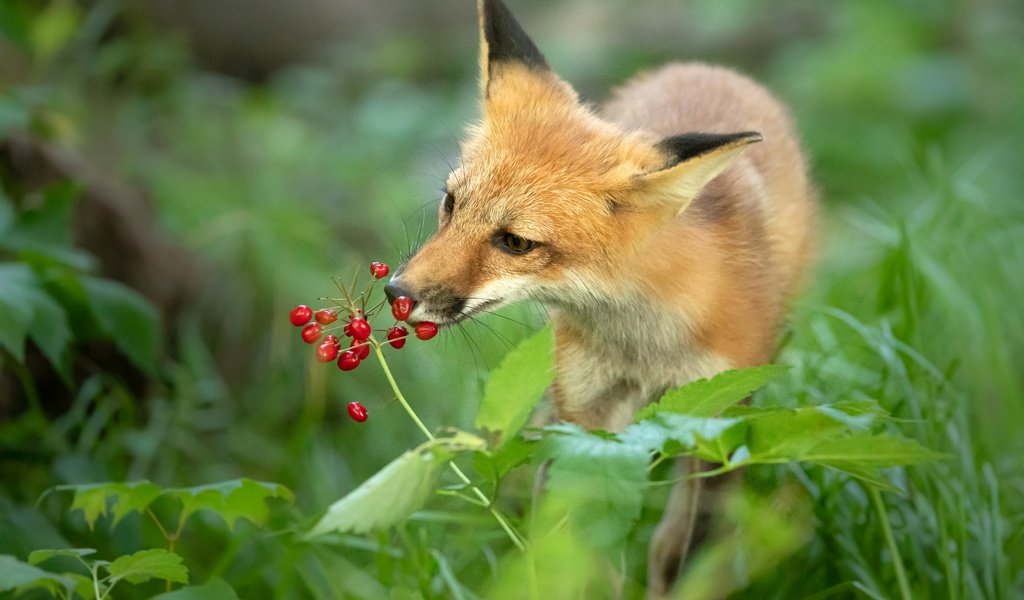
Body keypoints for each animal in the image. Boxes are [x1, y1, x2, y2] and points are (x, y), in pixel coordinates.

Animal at [385, 0, 815, 589]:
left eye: (515, 242)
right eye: (451, 204)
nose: (395, 292)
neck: (645, 346)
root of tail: (704, 66)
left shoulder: (716, 423)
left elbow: (679, 556)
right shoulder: (586, 424)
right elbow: (578, 553)